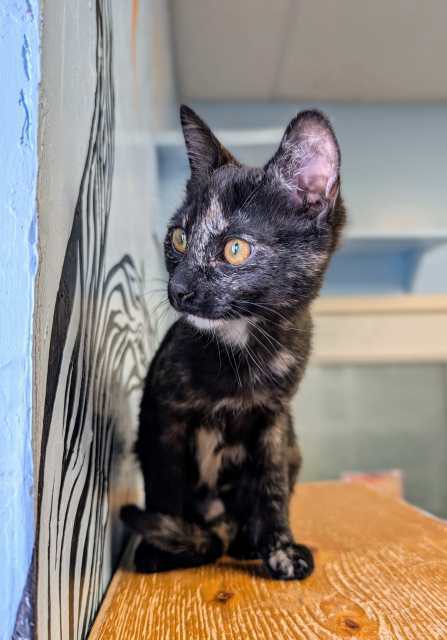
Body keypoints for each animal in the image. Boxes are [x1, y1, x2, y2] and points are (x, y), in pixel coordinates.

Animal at [122, 104, 346, 580]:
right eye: (178, 238)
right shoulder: (161, 418)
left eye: (235, 249)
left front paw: (278, 548)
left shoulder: (274, 420)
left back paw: (244, 542)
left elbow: (271, 487)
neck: (240, 348)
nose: (179, 289)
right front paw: (161, 547)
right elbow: (164, 485)